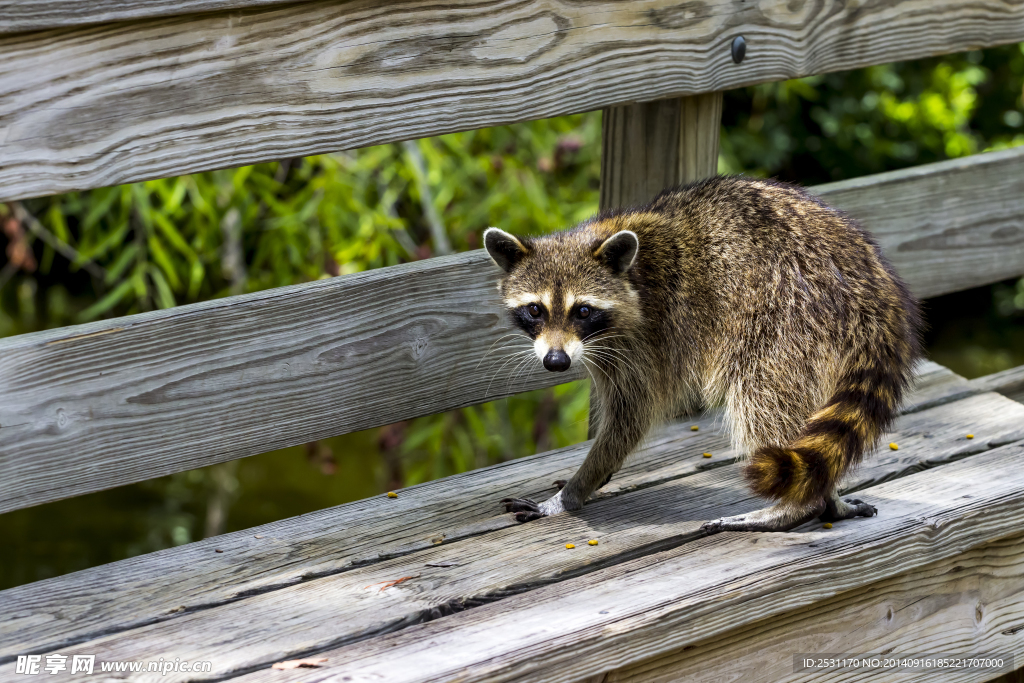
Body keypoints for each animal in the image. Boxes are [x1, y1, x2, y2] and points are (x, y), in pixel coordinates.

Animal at [483, 176, 925, 532]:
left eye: (583, 311)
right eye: (535, 310)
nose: (555, 362)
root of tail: (873, 285)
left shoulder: (645, 338)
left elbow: (630, 417)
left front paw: (575, 491)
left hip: (787, 319)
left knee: (760, 396)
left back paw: (795, 507)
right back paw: (826, 495)